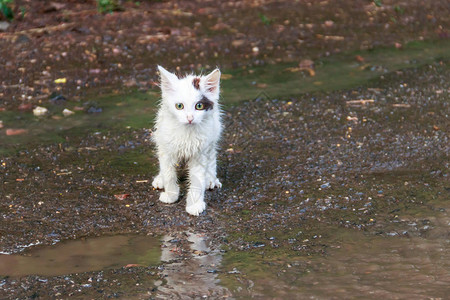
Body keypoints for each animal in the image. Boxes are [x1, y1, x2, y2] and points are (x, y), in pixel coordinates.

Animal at [152, 65, 222, 216]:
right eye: (179, 106)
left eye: (199, 106)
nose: (190, 118)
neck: (187, 133)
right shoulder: (166, 147)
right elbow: (168, 173)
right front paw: (171, 195)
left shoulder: (201, 152)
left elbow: (197, 180)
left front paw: (194, 204)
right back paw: (160, 179)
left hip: (213, 134)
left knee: (212, 157)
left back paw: (211, 179)